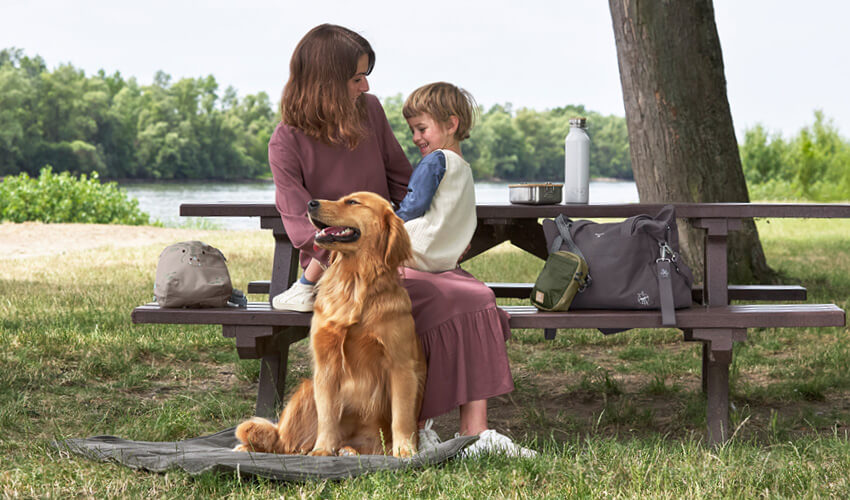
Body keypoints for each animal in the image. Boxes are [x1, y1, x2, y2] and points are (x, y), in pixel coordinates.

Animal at [234, 191, 424, 458]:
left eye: (353, 202)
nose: (310, 203)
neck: (353, 282)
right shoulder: (325, 366)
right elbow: (327, 416)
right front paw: (322, 450)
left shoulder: (401, 366)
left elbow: (402, 416)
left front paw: (405, 450)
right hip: (305, 392)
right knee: (283, 443)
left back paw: (348, 450)